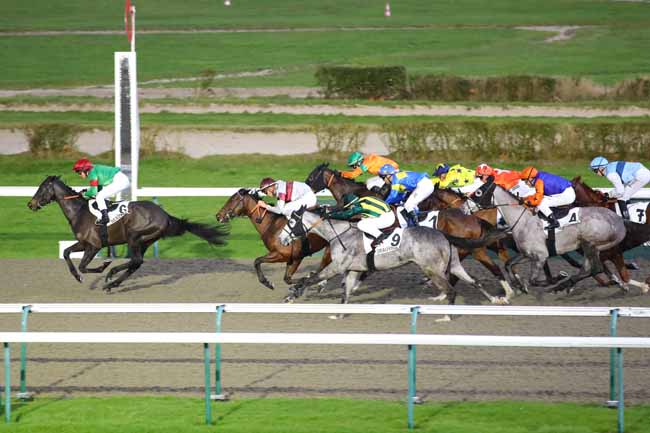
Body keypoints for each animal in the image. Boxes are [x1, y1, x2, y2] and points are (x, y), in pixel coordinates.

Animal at [29, 175, 229, 290]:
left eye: (41, 188)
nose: (30, 204)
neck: (79, 212)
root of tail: (165, 215)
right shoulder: (84, 243)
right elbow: (66, 252)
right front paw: (77, 276)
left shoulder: (94, 245)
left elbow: (83, 266)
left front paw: (102, 267)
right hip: (145, 241)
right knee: (136, 263)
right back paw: (114, 282)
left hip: (135, 236)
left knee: (136, 260)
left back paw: (111, 275)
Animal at [276, 206, 504, 310]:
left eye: (290, 223)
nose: (281, 238)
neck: (339, 233)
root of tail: (442, 233)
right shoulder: (353, 268)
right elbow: (343, 287)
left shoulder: (338, 266)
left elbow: (312, 278)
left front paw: (291, 295)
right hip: (453, 263)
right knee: (474, 281)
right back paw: (496, 299)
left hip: (432, 268)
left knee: (451, 286)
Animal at [474, 177, 624, 292]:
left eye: (479, 192)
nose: (470, 208)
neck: (523, 220)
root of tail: (616, 221)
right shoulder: (527, 254)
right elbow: (508, 264)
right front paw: (519, 285)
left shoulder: (541, 256)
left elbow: (534, 280)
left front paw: (557, 278)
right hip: (589, 247)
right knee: (588, 269)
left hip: (590, 244)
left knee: (596, 268)